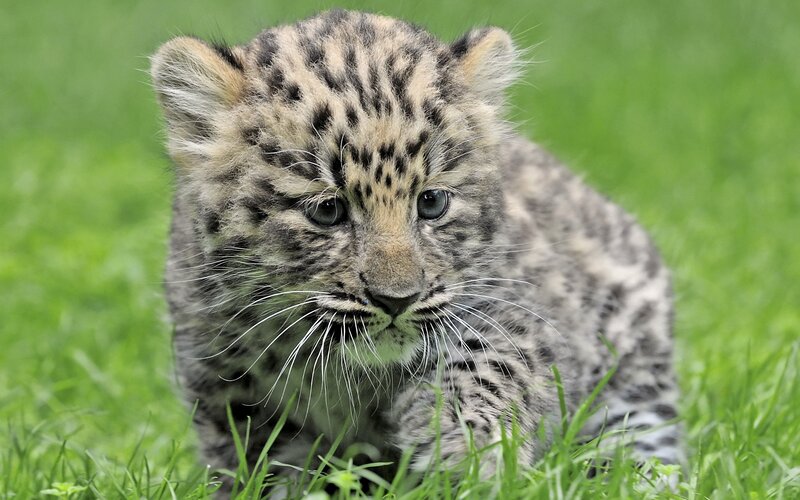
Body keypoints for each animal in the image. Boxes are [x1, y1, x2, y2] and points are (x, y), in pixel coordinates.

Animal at [150, 8, 683, 493]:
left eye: (431, 203)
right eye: (327, 211)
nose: (396, 301)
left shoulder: (514, 311)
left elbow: (488, 365)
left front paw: (466, 452)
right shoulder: (225, 381)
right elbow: (266, 466)